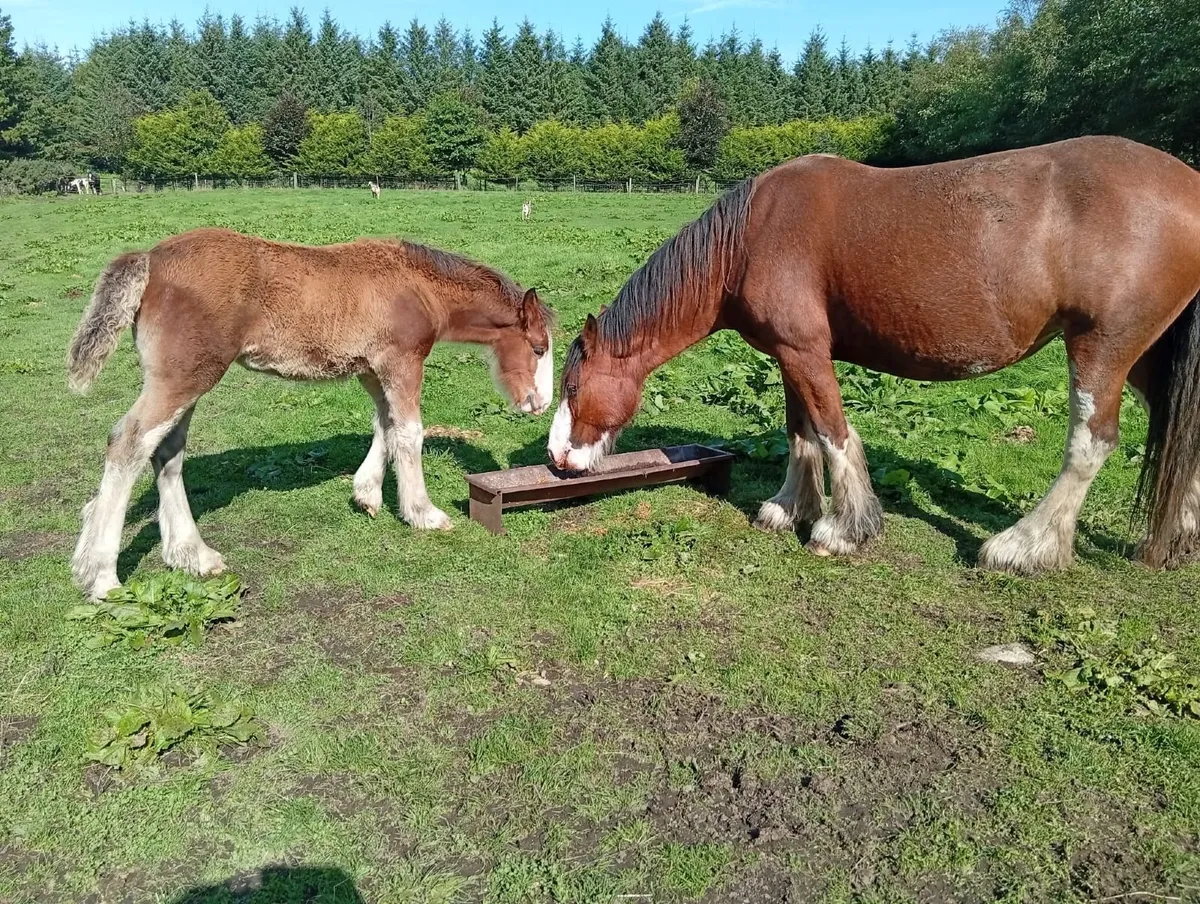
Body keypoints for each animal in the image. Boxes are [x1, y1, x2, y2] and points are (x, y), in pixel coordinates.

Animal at [67, 228, 554, 599]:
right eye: (537, 348)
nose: (539, 404)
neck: (416, 286)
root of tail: (150, 258)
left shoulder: (371, 370)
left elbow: (385, 426)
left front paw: (367, 495)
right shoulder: (401, 362)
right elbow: (409, 431)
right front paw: (423, 513)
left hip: (188, 381)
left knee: (167, 451)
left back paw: (192, 555)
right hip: (183, 377)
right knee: (129, 442)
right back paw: (102, 576)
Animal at [549, 136, 1200, 575]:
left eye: (574, 387)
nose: (558, 459)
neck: (752, 234)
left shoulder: (807, 352)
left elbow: (833, 433)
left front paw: (843, 529)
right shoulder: (789, 354)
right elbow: (800, 432)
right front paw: (789, 508)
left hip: (1103, 346)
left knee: (1090, 444)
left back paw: (1022, 546)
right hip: (1146, 358)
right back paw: (1177, 540)